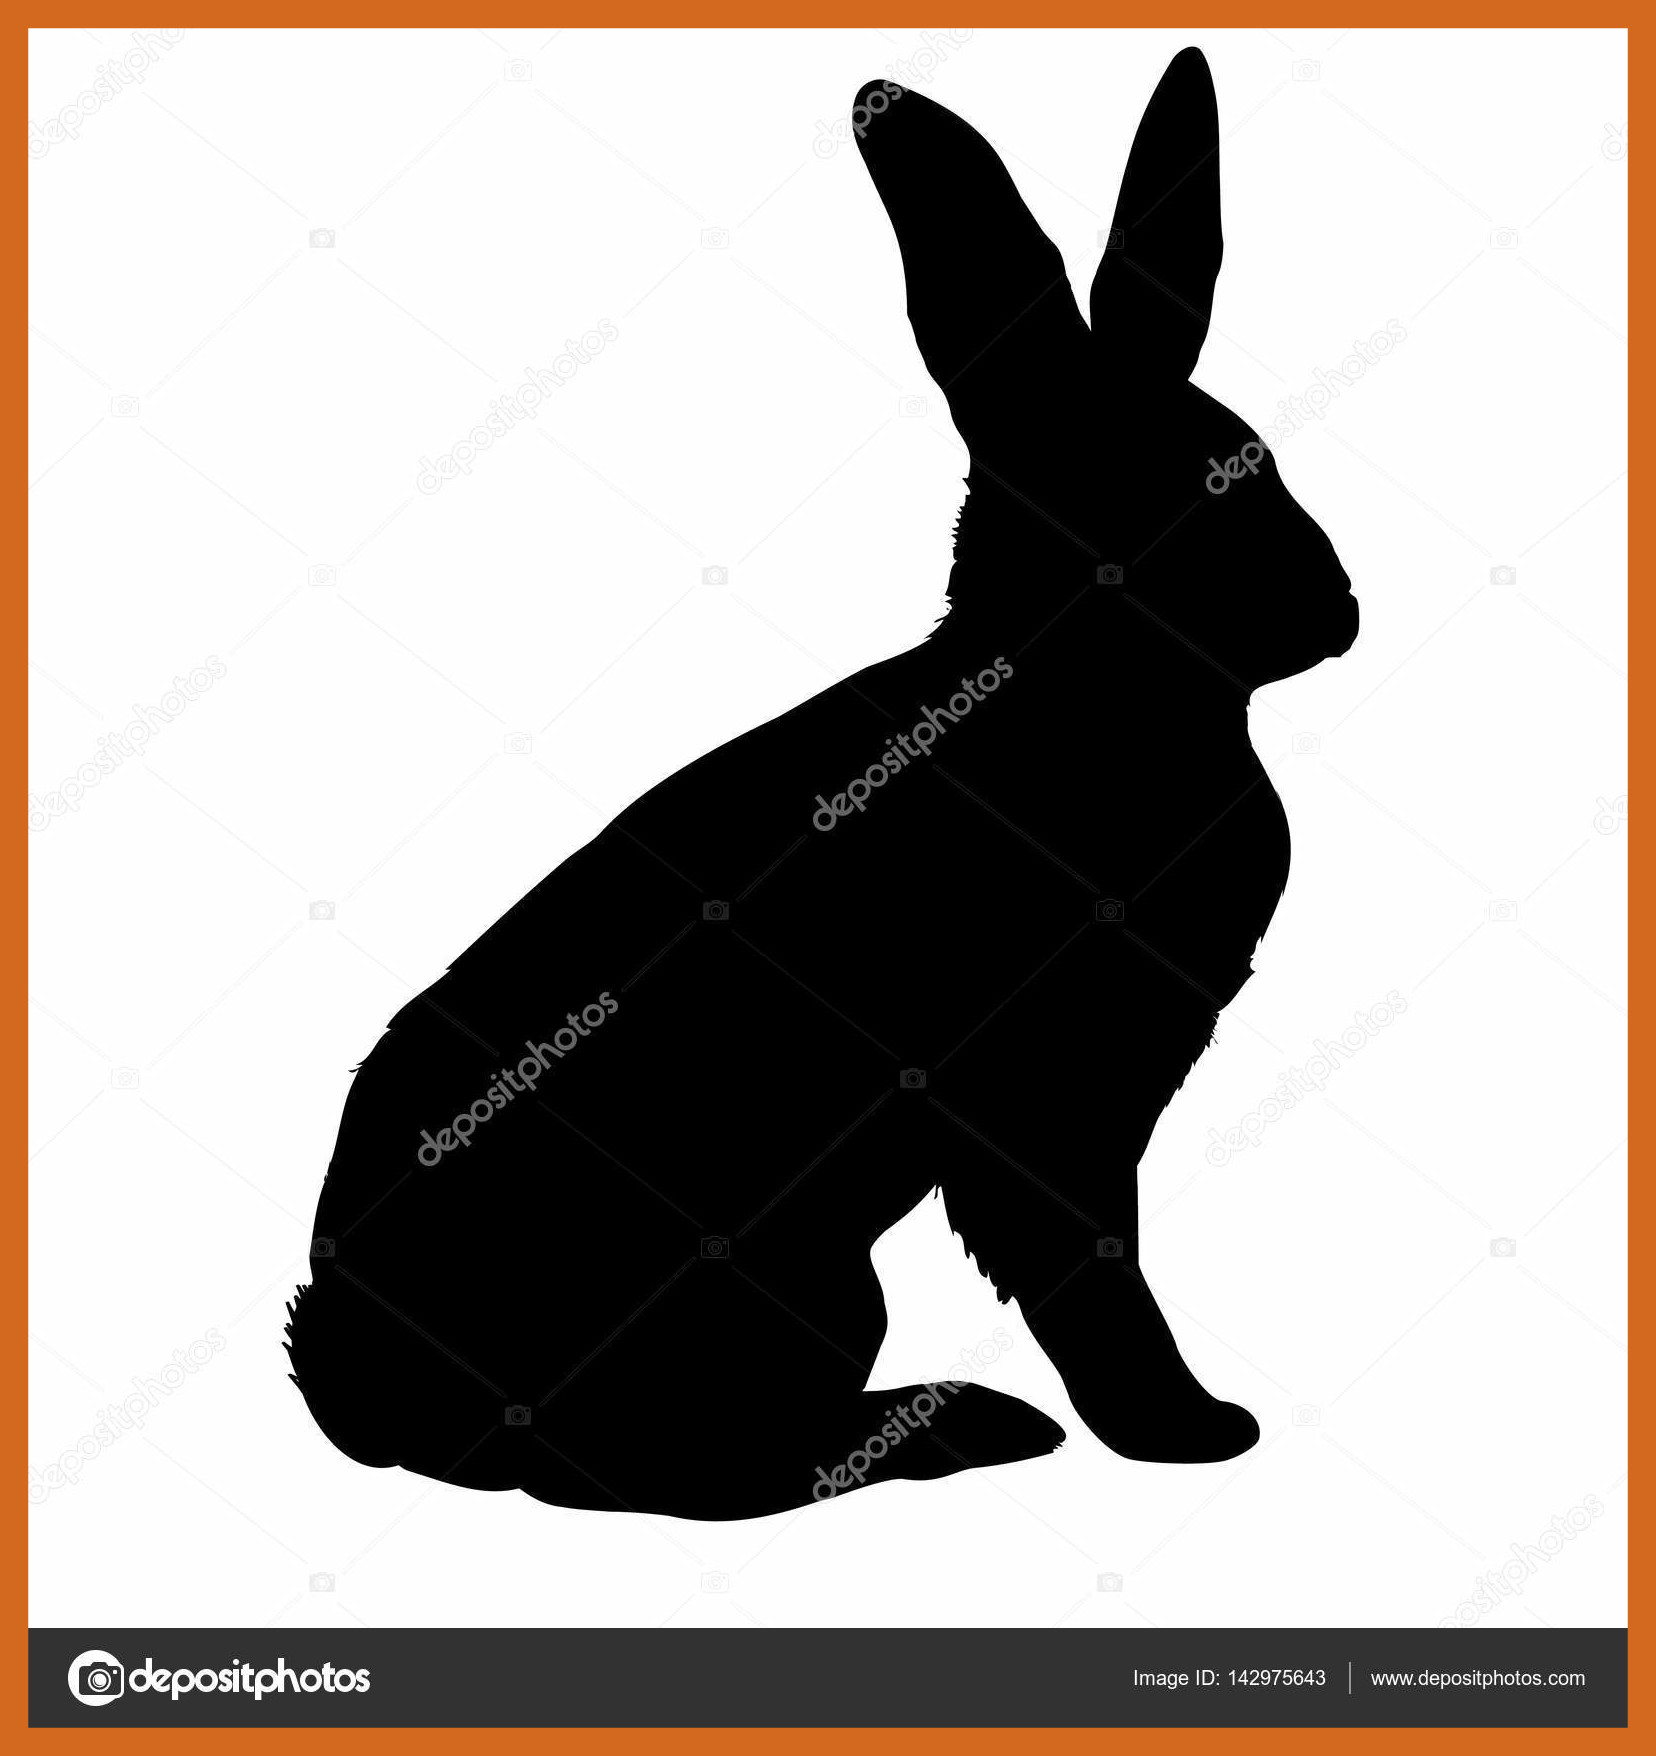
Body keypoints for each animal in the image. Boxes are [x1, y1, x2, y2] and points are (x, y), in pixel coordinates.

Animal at [287, 48, 1356, 1519]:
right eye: (1159, 492)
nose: (1337, 614)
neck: (1086, 703)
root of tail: (351, 1385)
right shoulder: (1040, 1103)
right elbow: (1082, 1271)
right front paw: (1188, 1431)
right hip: (781, 1283)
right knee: (675, 1466)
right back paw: (964, 1426)